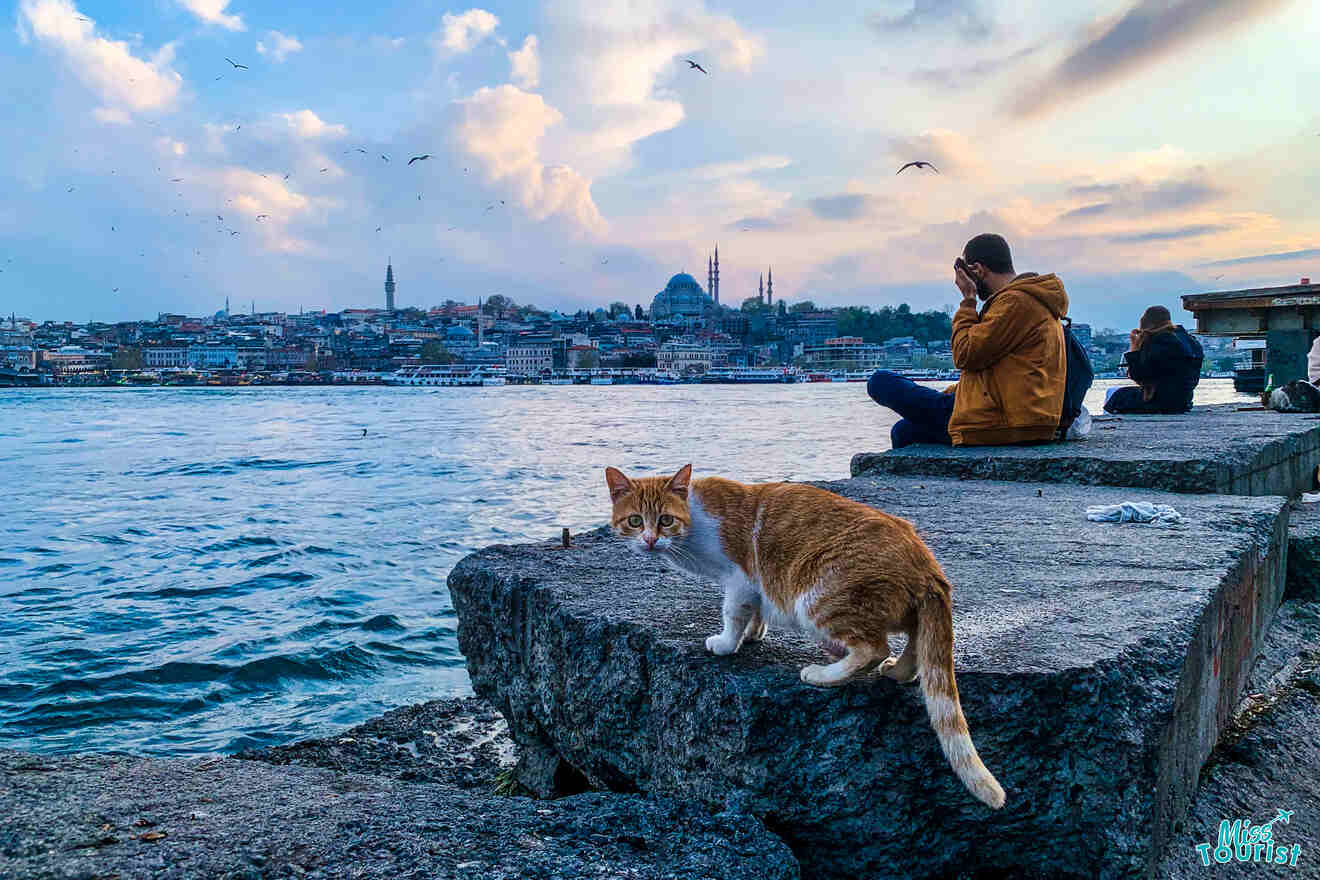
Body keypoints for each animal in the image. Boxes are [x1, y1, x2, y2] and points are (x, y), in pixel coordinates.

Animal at [604, 464, 1003, 807]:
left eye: (666, 520)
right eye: (635, 520)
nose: (650, 540)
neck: (694, 523)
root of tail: (927, 563)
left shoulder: (738, 577)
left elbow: (732, 612)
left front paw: (727, 643)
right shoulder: (755, 586)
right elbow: (755, 609)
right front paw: (754, 633)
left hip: (816, 596)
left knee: (873, 647)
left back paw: (825, 673)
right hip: (902, 610)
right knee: (916, 644)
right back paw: (894, 670)